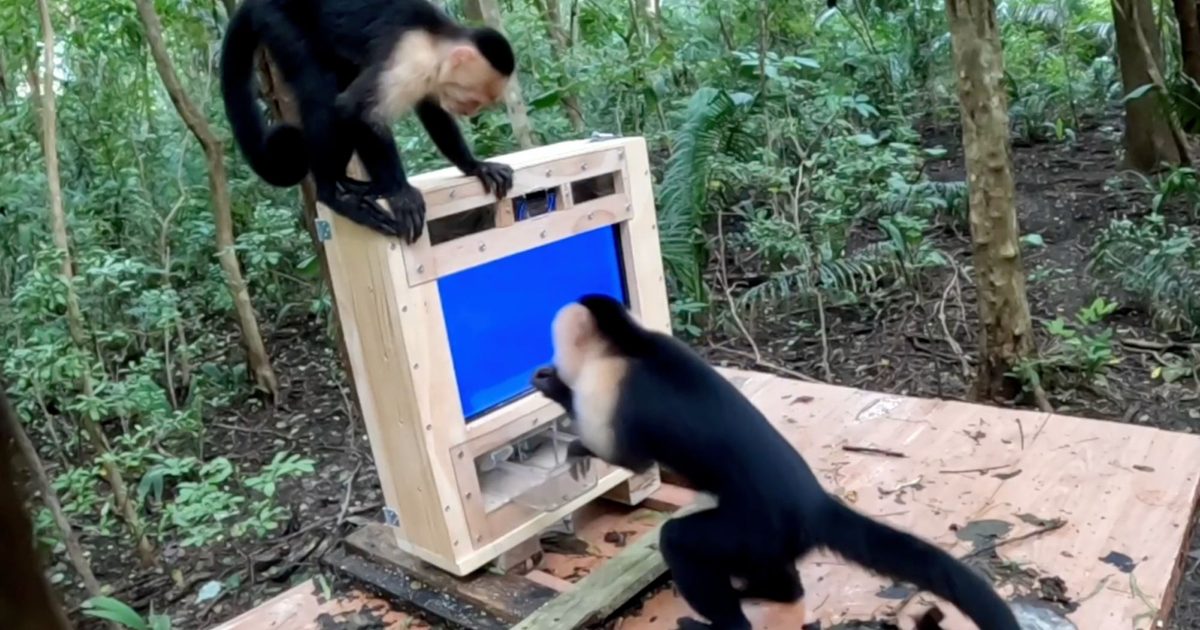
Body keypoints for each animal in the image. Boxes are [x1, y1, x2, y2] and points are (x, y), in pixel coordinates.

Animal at [220, 0, 516, 242]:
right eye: (473, 99)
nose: (468, 111)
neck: (435, 37)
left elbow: (433, 112)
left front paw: (475, 165)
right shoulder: (411, 61)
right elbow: (356, 111)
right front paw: (400, 193)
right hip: (277, 20)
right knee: (321, 90)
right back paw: (332, 193)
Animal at [529, 294, 1019, 630]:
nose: (551, 364)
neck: (631, 344)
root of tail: (814, 503)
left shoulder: (606, 385)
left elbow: (628, 459)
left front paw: (561, 402)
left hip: (753, 530)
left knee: (681, 542)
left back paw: (723, 621)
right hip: (771, 541)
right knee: (781, 577)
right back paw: (771, 590)